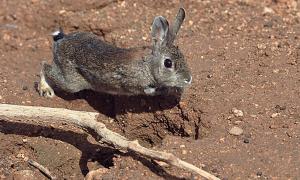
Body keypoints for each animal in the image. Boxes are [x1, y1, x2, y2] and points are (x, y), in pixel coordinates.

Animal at [38, 7, 192, 97]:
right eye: (168, 63)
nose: (188, 79)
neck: (147, 66)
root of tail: (60, 41)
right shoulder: (132, 83)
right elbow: (146, 90)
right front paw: (162, 91)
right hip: (71, 83)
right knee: (45, 66)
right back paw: (45, 90)